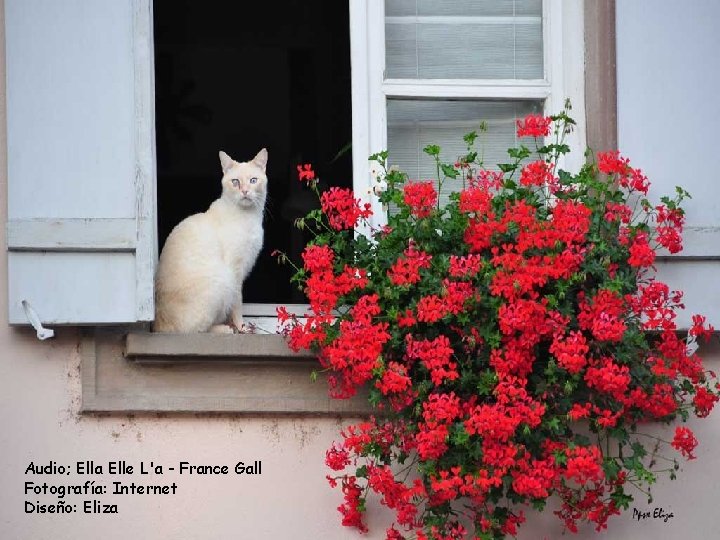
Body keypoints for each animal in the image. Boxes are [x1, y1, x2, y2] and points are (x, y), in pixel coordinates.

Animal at [153, 149, 268, 334]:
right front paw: (241, 327)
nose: (244, 191)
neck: (249, 216)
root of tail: (156, 325)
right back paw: (227, 329)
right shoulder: (235, 271)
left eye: (253, 180)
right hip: (221, 279)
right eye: (235, 182)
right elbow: (237, 303)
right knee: (196, 330)